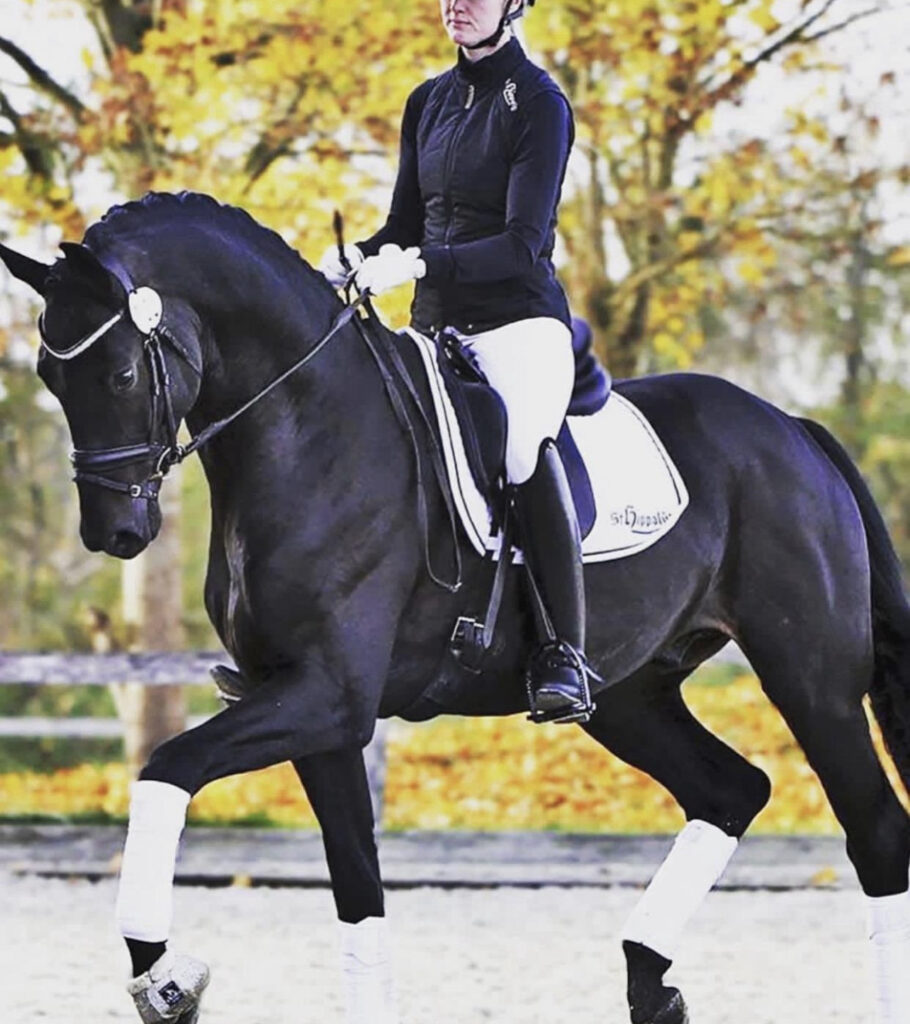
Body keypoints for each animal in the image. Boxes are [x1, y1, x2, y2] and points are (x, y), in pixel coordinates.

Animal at [3, 190, 910, 1024]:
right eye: (49, 377)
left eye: (121, 373)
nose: (114, 531)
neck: (309, 431)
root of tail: (790, 427)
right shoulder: (315, 713)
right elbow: (358, 896)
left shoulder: (327, 696)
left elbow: (165, 768)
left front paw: (164, 976)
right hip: (629, 696)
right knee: (731, 791)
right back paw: (651, 987)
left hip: (811, 683)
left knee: (876, 832)